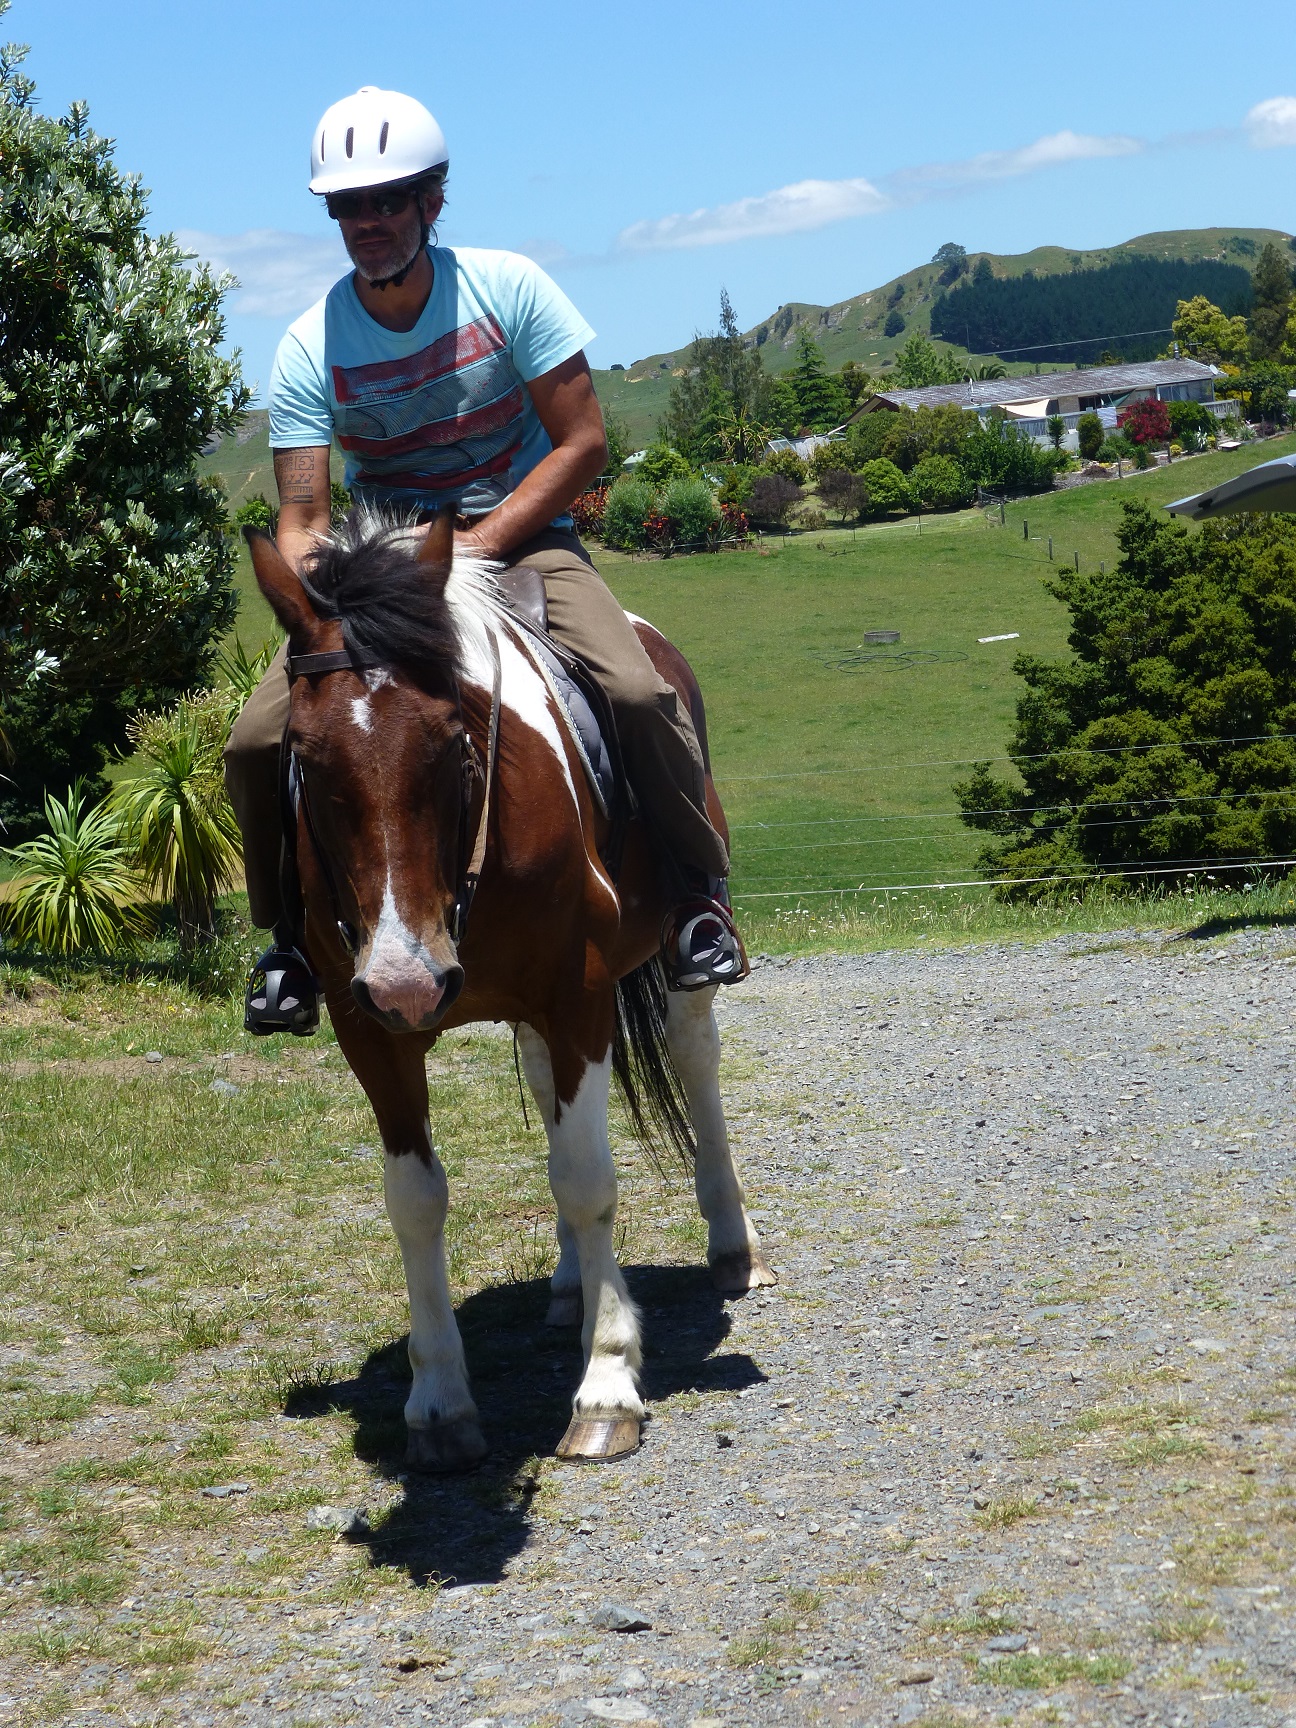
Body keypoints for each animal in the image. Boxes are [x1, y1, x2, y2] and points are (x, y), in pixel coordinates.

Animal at [244, 511, 774, 1469]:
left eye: (455, 742)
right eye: (302, 755)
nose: (407, 978)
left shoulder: (578, 994)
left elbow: (586, 1177)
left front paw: (607, 1384)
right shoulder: (368, 1028)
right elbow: (416, 1201)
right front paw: (438, 1402)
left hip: (677, 947)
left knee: (695, 1063)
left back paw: (730, 1247)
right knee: (546, 1092)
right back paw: (568, 1284)